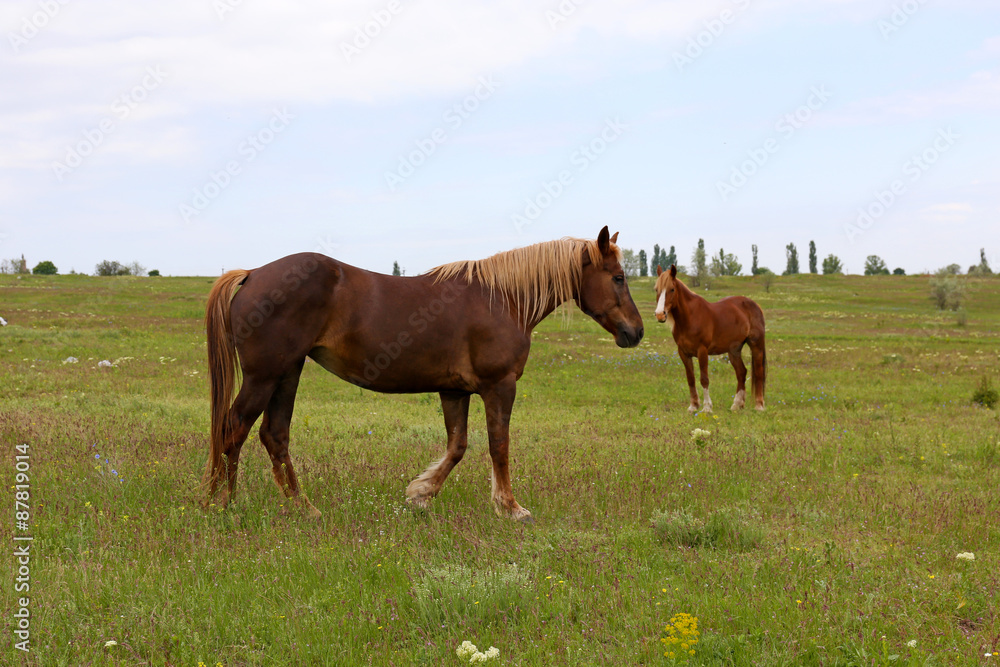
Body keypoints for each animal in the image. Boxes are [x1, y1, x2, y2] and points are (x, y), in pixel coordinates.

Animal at [203, 227, 644, 520]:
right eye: (618, 277)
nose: (636, 332)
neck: (503, 299)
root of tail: (253, 273)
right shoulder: (499, 386)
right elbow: (498, 445)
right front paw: (511, 507)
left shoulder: (455, 391)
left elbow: (458, 446)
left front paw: (421, 493)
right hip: (265, 376)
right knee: (234, 428)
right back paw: (223, 504)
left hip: (288, 373)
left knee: (273, 435)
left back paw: (303, 507)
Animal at [656, 264, 764, 412]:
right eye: (656, 289)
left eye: (672, 289)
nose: (660, 315)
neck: (690, 317)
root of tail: (754, 305)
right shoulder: (683, 353)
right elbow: (691, 378)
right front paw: (693, 406)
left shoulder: (702, 351)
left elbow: (704, 379)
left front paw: (707, 407)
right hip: (734, 351)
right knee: (741, 372)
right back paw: (737, 405)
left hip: (756, 346)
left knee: (758, 372)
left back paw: (759, 406)